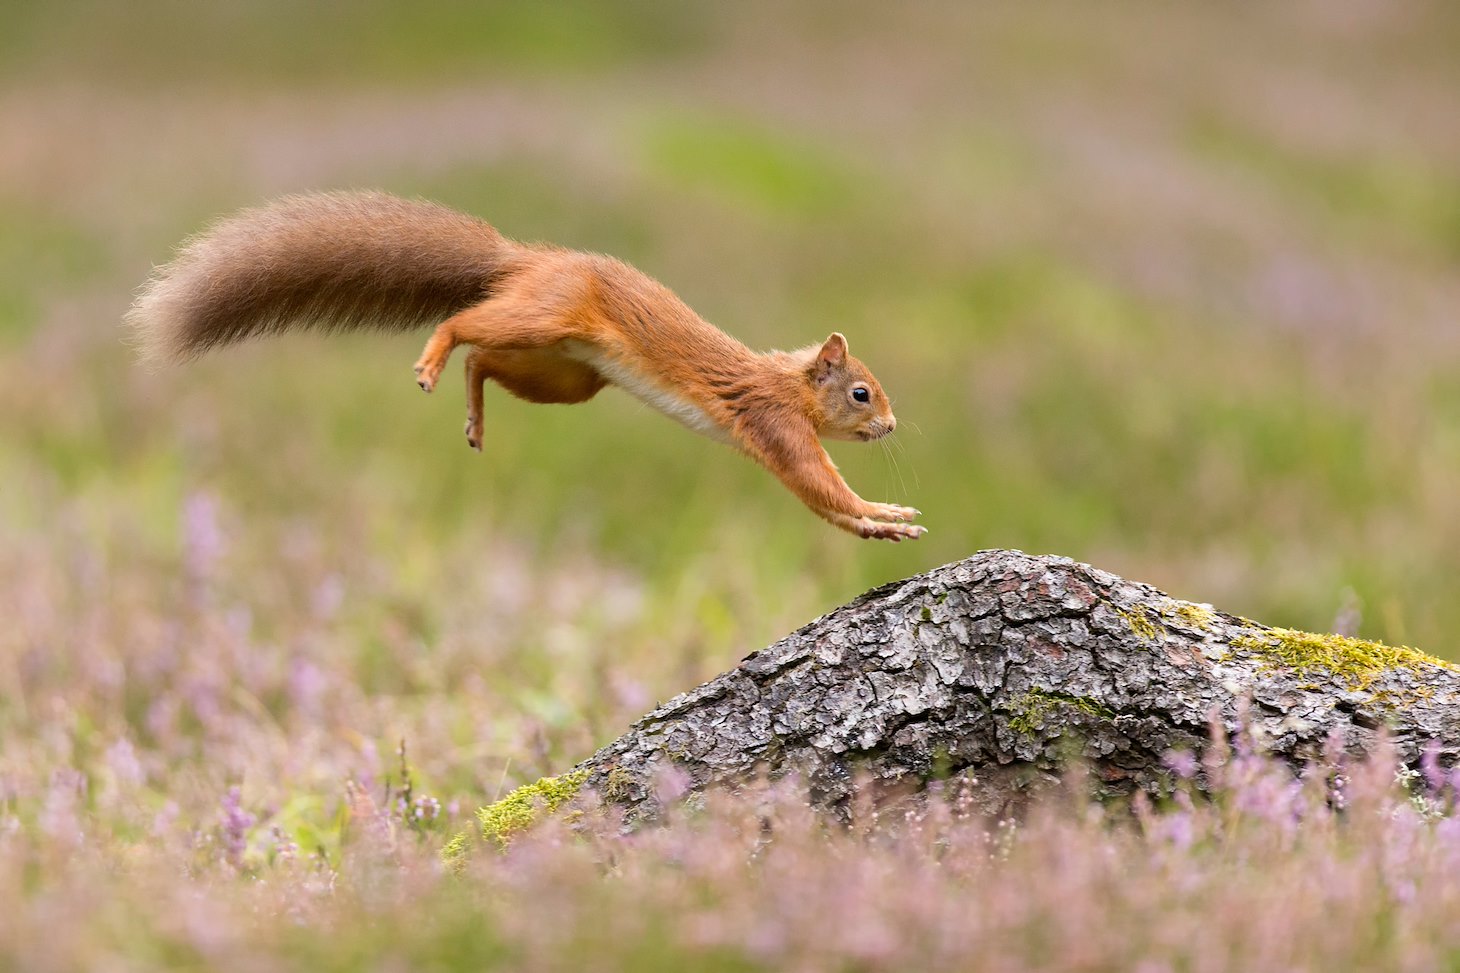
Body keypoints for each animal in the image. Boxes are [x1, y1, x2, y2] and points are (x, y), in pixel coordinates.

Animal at [125, 189, 922, 537]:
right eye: (861, 393)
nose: (891, 426)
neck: (787, 381)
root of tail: (528, 260)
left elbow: (822, 503)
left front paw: (879, 524)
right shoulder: (778, 426)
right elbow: (821, 483)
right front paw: (883, 512)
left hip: (565, 377)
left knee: (484, 359)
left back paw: (474, 414)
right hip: (545, 318)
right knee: (465, 326)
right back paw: (432, 359)